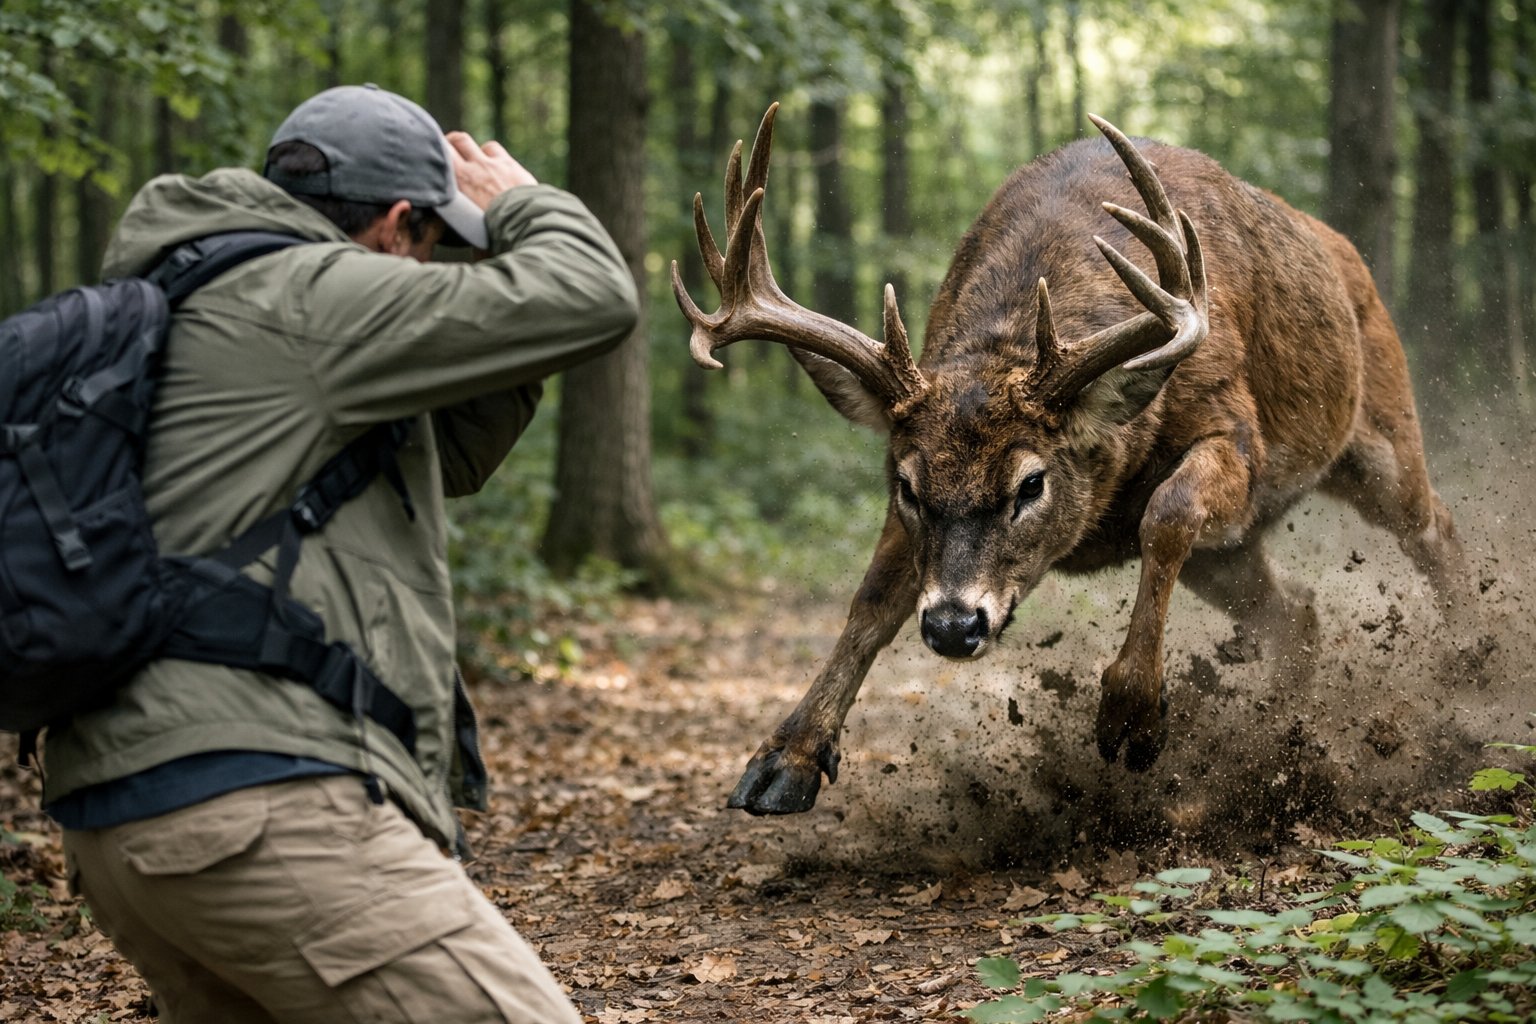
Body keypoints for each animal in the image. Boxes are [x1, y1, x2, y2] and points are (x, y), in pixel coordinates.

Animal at [672, 103, 1465, 816]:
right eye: (908, 486)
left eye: (1030, 483)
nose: (954, 627)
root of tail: (1346, 254)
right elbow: (872, 600)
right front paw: (784, 761)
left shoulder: (1236, 429)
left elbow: (1168, 513)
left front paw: (1132, 713)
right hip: (1228, 557)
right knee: (1296, 611)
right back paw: (1282, 731)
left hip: (1380, 439)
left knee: (1436, 528)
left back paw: (1468, 672)